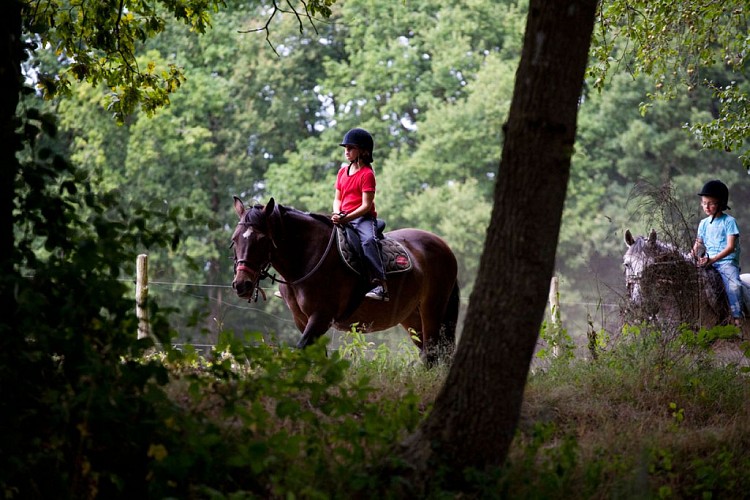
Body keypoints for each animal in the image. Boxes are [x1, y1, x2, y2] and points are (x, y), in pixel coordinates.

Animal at [230, 197, 461, 366]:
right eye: (235, 239)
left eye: (262, 240)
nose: (242, 284)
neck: (309, 256)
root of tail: (443, 245)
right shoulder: (302, 320)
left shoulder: (321, 317)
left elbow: (301, 351)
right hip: (412, 316)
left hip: (432, 309)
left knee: (431, 353)